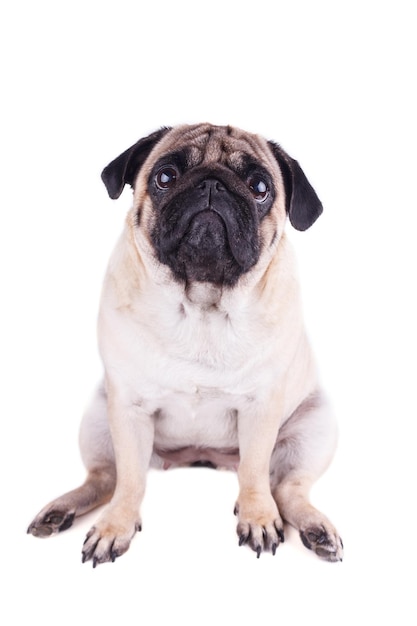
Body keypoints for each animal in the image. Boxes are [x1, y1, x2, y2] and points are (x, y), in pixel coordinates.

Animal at [27, 123, 342, 564]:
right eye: (165, 177)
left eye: (259, 187)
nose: (212, 184)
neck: (201, 306)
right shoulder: (129, 408)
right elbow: (129, 482)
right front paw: (115, 527)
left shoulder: (261, 408)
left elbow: (255, 473)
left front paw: (258, 518)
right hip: (98, 418)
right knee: (106, 478)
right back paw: (62, 510)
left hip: (315, 427)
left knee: (285, 487)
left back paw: (315, 529)